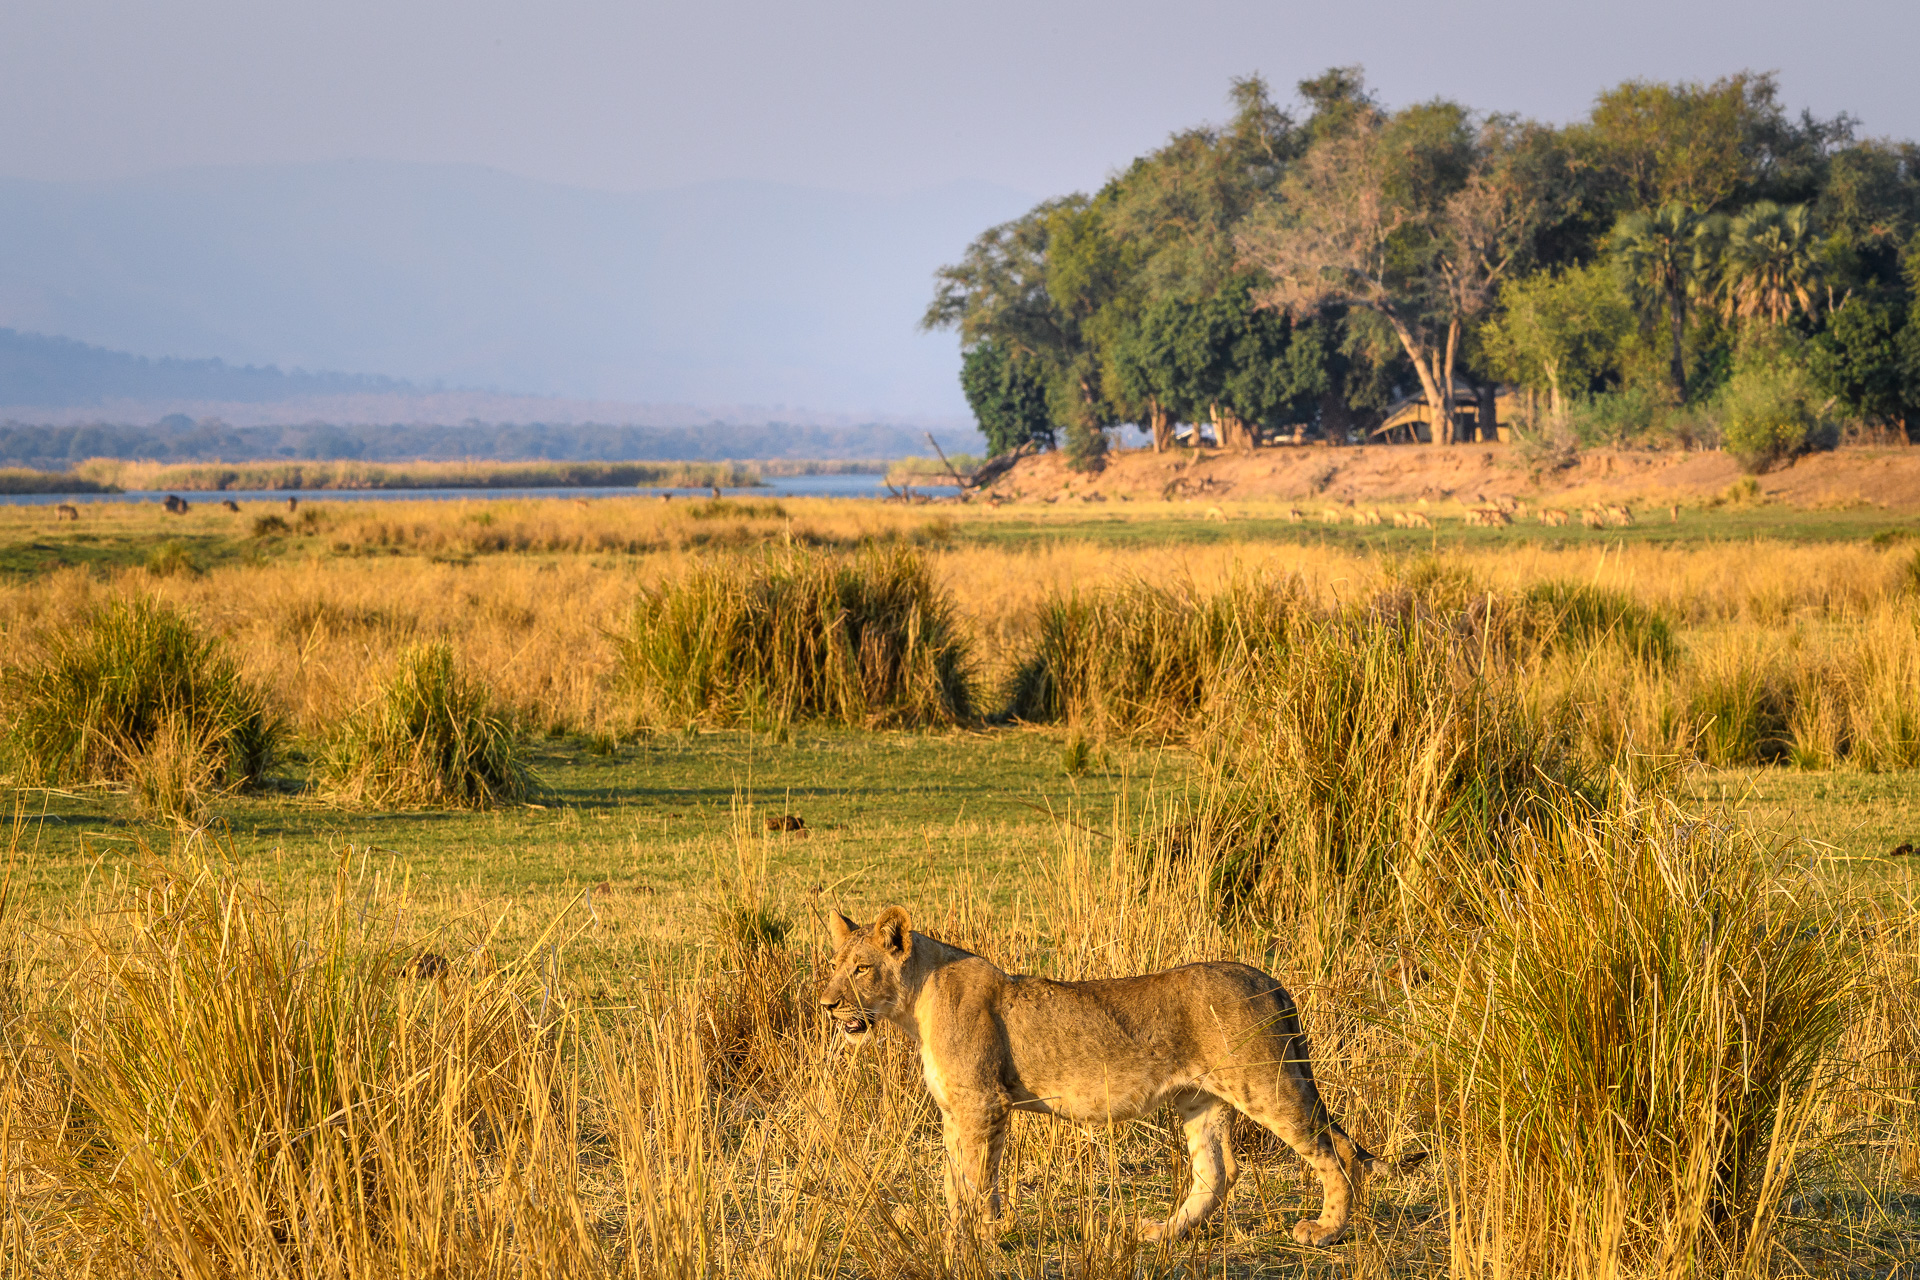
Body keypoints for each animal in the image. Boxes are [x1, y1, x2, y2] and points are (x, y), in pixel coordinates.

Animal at [820, 907, 1384, 1248]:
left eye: (862, 969)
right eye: (835, 964)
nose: (826, 1004)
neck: (914, 1006)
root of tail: (1268, 979)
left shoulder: (983, 1103)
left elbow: (978, 1179)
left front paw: (976, 1239)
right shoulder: (956, 1110)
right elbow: (954, 1178)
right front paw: (961, 1233)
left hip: (1266, 1083)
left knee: (1334, 1149)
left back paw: (1325, 1230)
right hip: (1200, 1098)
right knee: (1217, 1171)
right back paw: (1163, 1231)